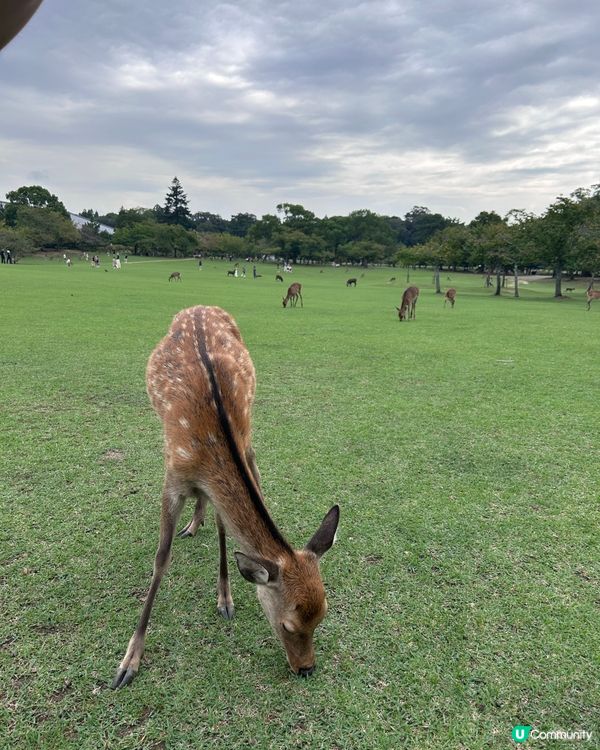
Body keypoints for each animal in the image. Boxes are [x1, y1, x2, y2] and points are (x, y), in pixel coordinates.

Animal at [111, 306, 339, 689]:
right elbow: (161, 560)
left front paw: (225, 598)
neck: (209, 450)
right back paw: (192, 523)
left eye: (322, 616)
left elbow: (223, 528)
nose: (306, 668)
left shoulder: (241, 444)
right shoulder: (172, 477)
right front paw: (129, 662)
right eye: (288, 625)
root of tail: (198, 308)